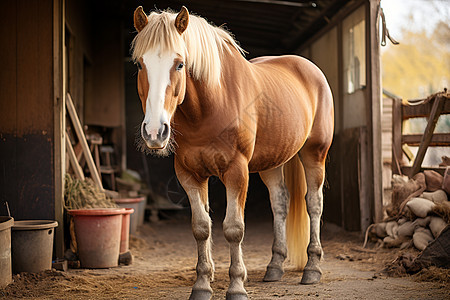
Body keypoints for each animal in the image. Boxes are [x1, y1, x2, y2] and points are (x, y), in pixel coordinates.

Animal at [132, 5, 332, 298]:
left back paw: (313, 269)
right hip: (272, 164)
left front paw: (237, 286)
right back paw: (274, 267)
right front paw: (202, 284)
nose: (155, 132)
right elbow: (201, 227)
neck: (210, 106)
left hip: (314, 153)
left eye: (180, 63)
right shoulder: (189, 174)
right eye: (140, 64)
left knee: (314, 204)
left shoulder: (236, 172)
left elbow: (234, 229)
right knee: (280, 204)